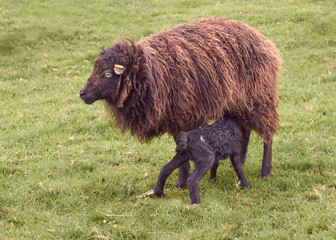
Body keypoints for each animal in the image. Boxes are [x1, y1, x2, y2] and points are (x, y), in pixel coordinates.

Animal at [80, 17, 282, 188]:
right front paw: (181, 180)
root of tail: (259, 36)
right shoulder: (174, 119)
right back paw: (242, 159)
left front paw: (181, 182)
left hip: (258, 97)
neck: (149, 72)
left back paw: (265, 170)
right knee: (245, 129)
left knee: (268, 133)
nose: (82, 93)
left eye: (107, 74)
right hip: (237, 102)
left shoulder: (183, 116)